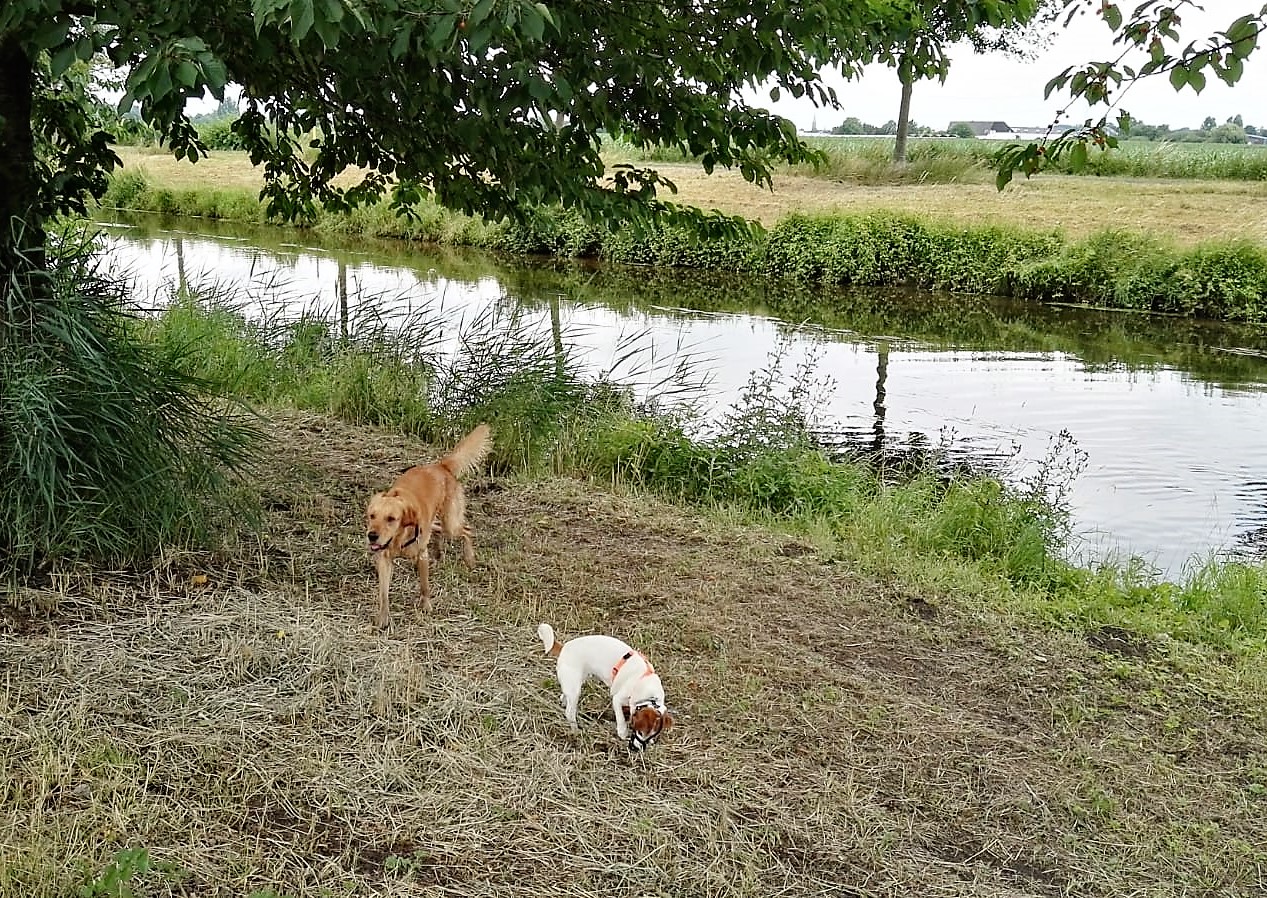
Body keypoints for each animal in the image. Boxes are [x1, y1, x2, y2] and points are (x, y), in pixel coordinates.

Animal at [537, 623, 674, 749]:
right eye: (640, 731)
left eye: (651, 735)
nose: (637, 748)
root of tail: (564, 647)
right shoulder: (617, 699)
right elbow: (620, 717)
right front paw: (622, 732)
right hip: (575, 688)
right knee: (569, 713)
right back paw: (575, 729)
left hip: (575, 682)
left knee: (565, 695)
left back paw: (564, 701)